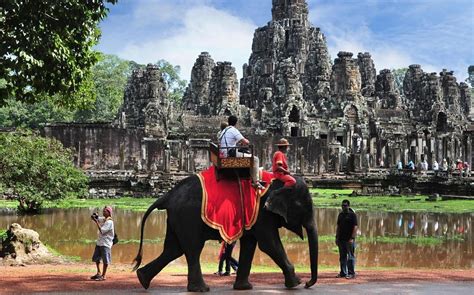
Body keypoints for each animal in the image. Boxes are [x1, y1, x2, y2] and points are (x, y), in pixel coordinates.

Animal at [131, 175, 320, 292]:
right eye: (303, 206)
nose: (308, 284)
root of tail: (167, 195)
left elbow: (250, 243)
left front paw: (244, 288)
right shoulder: (261, 213)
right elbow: (269, 244)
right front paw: (295, 284)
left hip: (176, 218)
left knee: (173, 249)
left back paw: (142, 278)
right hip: (187, 216)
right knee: (192, 248)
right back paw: (201, 289)